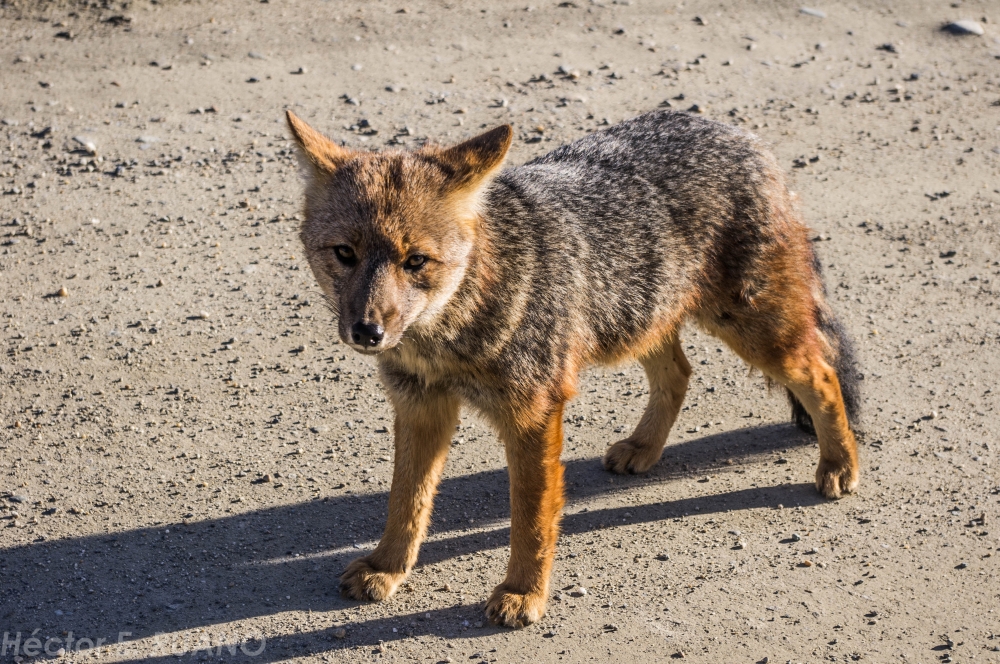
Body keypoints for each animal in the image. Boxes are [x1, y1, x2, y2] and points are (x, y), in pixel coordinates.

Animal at [288, 107, 860, 628]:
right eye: (344, 253)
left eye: (415, 262)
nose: (367, 331)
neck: (452, 332)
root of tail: (733, 130)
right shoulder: (420, 407)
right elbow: (405, 501)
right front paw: (387, 567)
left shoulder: (534, 414)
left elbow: (531, 517)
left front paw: (523, 593)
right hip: (637, 320)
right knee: (679, 373)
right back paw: (644, 448)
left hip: (752, 331)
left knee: (823, 374)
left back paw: (839, 465)